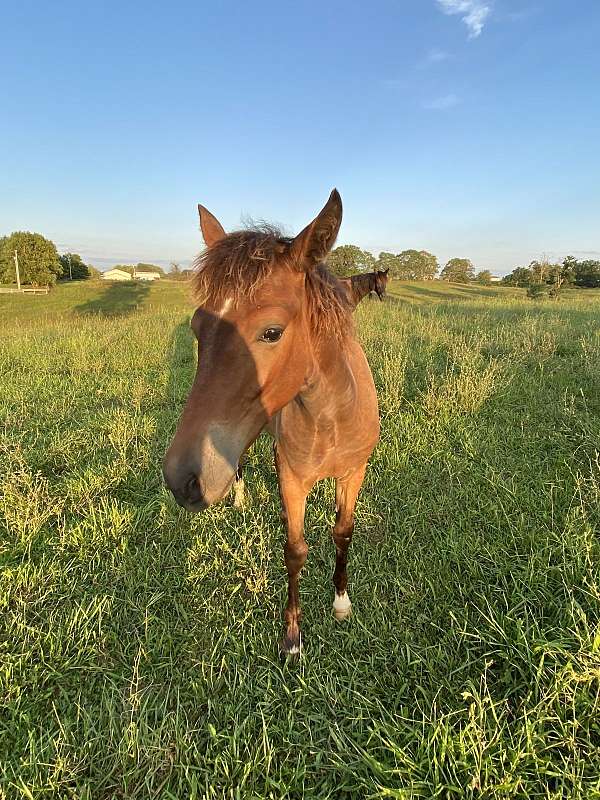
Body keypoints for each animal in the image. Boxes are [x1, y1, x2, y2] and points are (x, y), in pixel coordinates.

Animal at [163, 191, 380, 652]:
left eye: (271, 332)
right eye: (197, 327)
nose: (181, 479)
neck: (331, 418)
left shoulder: (354, 472)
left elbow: (343, 532)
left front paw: (340, 602)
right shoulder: (291, 478)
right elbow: (295, 549)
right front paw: (293, 633)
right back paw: (239, 495)